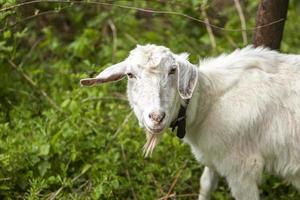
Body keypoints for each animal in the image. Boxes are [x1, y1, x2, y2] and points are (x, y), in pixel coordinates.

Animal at [79, 44, 300, 199]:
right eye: (130, 74)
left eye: (172, 71)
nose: (156, 117)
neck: (208, 103)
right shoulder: (214, 156)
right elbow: (206, 184)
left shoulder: (242, 167)